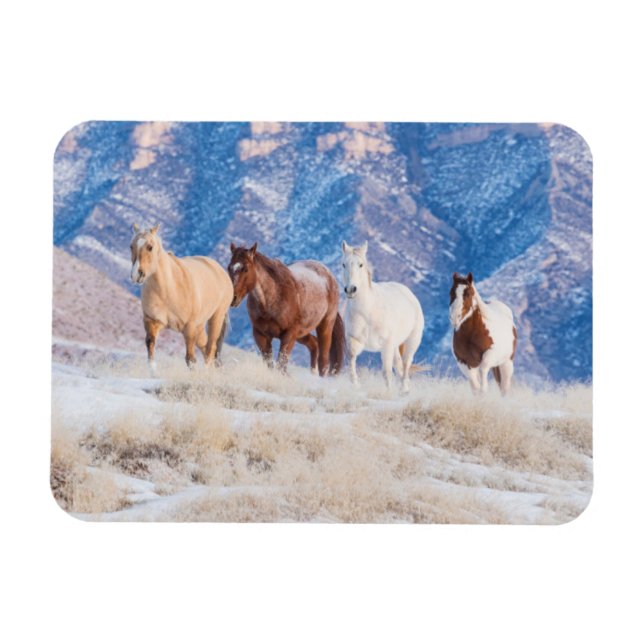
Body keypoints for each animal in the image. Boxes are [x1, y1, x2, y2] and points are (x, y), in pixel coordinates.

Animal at [129, 224, 233, 372]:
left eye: (150, 247)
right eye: (131, 246)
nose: (136, 275)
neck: (168, 290)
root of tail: (221, 271)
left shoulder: (189, 327)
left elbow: (190, 360)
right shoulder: (152, 322)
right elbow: (150, 348)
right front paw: (153, 372)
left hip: (216, 318)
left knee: (210, 349)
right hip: (200, 327)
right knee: (206, 349)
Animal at [228, 243, 345, 375]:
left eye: (246, 269)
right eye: (229, 267)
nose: (233, 297)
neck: (273, 300)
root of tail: (330, 277)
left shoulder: (289, 335)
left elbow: (281, 365)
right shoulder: (260, 335)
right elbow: (270, 364)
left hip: (324, 326)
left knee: (323, 361)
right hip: (302, 333)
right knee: (314, 344)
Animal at [341, 241, 425, 393]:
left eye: (361, 264)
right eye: (343, 264)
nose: (350, 289)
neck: (368, 312)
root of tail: (408, 293)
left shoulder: (386, 345)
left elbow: (386, 372)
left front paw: (388, 392)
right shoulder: (353, 340)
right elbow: (351, 360)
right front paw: (355, 384)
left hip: (412, 341)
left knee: (406, 363)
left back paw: (404, 389)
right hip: (396, 345)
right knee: (399, 365)